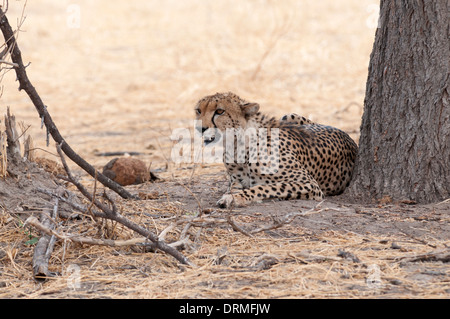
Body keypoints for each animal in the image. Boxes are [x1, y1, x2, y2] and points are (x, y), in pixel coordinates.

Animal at [195, 91, 356, 209]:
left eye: (219, 111)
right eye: (198, 111)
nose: (200, 128)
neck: (237, 145)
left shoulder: (309, 183)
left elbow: (266, 187)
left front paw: (236, 198)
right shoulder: (236, 179)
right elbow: (235, 186)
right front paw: (232, 195)